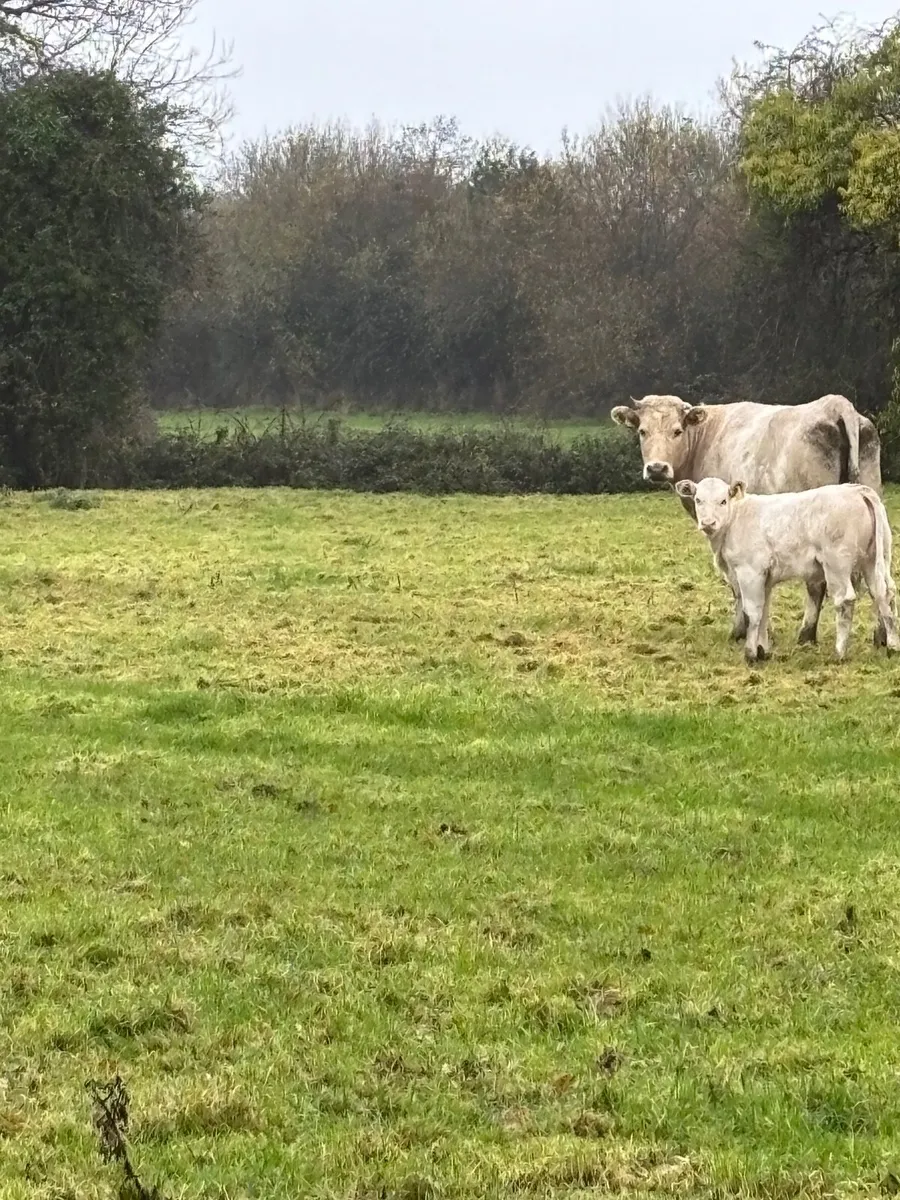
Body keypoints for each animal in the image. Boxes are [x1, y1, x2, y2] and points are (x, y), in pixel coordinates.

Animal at [611, 393, 882, 644]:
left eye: (677, 431)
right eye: (643, 431)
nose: (657, 468)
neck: (704, 438)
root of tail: (835, 404)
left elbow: (738, 587)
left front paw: (741, 630)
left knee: (817, 585)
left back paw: (806, 634)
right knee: (876, 579)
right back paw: (880, 636)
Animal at [674, 477, 900, 665]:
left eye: (723, 501)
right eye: (698, 500)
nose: (708, 523)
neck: (735, 520)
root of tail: (858, 490)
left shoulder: (750, 572)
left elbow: (752, 613)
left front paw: (750, 654)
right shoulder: (765, 578)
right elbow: (764, 611)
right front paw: (762, 651)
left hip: (837, 564)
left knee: (846, 600)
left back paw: (839, 653)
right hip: (874, 561)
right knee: (884, 594)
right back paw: (892, 647)